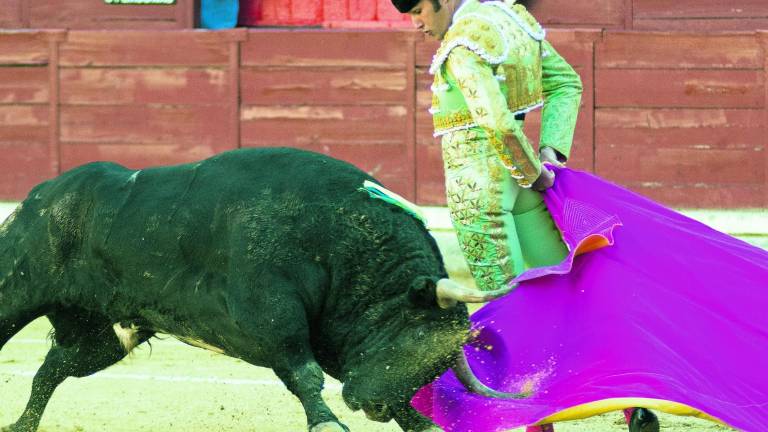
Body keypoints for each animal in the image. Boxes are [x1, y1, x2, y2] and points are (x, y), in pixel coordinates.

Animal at [0, 148, 520, 432]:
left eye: (435, 364)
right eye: (414, 334)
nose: (372, 407)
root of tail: (41, 195)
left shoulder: (332, 333)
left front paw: (418, 422)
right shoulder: (273, 315)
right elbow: (305, 374)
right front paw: (329, 421)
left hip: (98, 336)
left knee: (50, 370)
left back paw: (22, 425)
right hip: (17, 295)